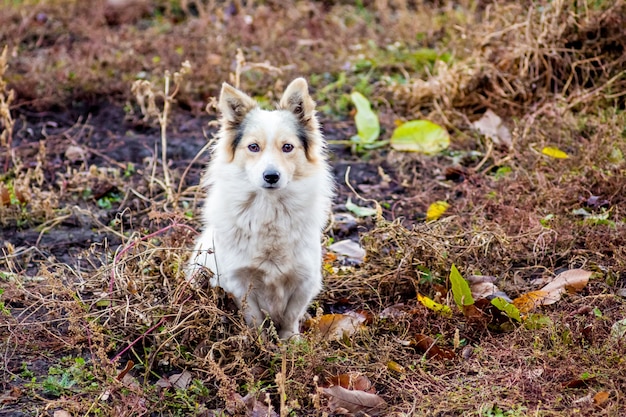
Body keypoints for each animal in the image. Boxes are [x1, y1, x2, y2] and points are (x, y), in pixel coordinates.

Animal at [185, 77, 332, 338]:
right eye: (253, 147)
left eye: (287, 147)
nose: (271, 176)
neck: (270, 209)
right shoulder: (239, 282)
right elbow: (254, 318)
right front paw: (259, 343)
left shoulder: (305, 281)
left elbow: (291, 317)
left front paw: (291, 342)